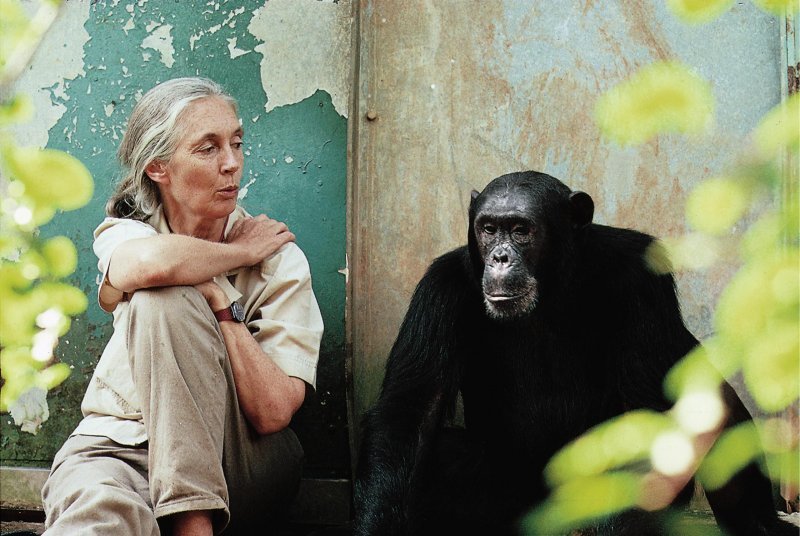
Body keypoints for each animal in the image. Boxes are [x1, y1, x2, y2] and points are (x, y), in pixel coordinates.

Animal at [356, 172, 792, 536]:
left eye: (521, 230)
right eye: (488, 228)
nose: (500, 257)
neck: (550, 285)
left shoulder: (642, 278)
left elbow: (651, 411)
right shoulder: (438, 292)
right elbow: (411, 411)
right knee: (444, 453)